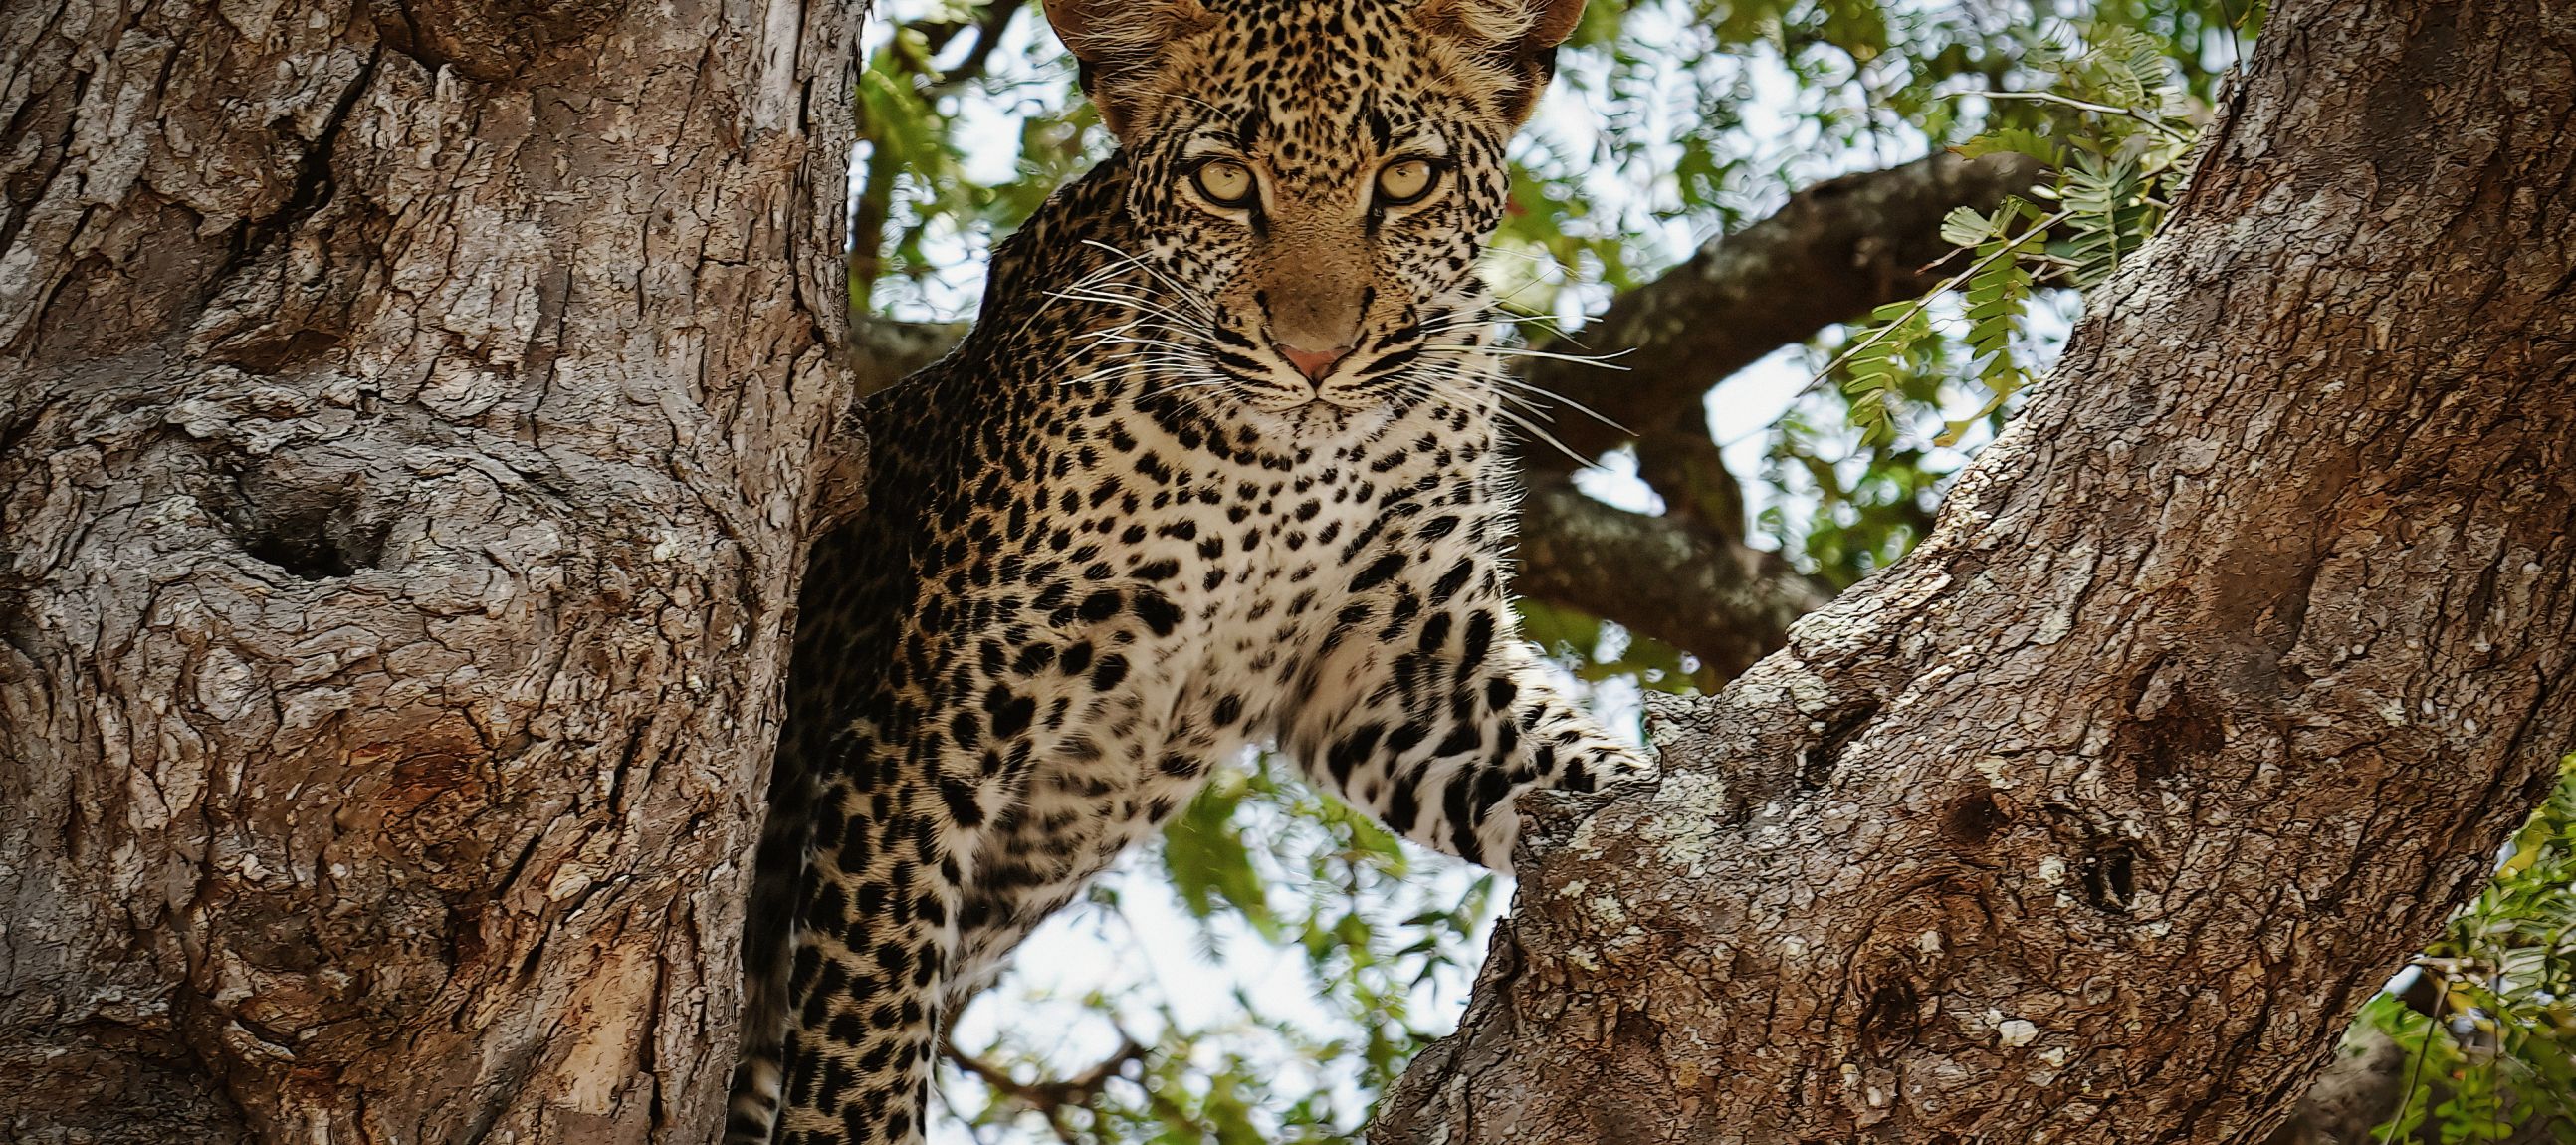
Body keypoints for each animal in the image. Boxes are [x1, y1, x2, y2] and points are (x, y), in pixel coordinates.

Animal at [725, 0, 1655, 1139]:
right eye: (1223, 180)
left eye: (1404, 179)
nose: (1313, 358)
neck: (1287, 468)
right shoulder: (925, 726)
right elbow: (865, 1030)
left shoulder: (1397, 669)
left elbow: (1597, 773)